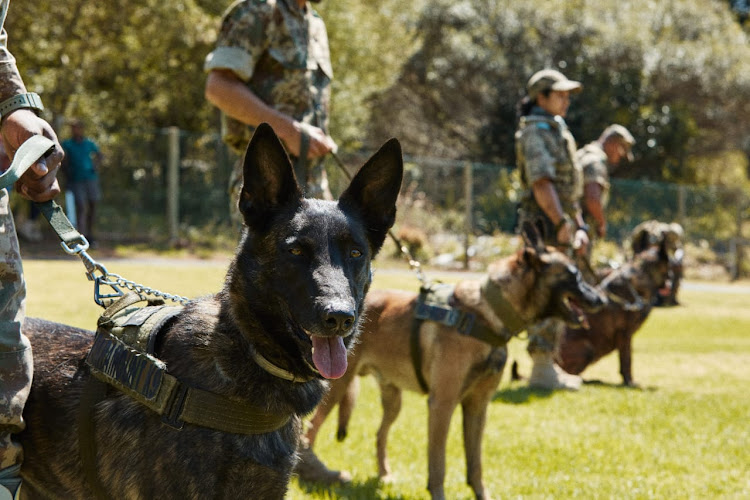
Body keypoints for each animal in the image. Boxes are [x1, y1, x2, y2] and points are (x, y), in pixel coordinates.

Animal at [302, 227, 608, 500]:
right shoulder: (443, 404)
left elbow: (476, 464)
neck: (487, 314)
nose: (603, 299)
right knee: (310, 430)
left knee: (379, 434)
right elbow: (438, 464)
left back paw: (384, 475)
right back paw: (312, 475)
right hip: (337, 388)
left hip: (393, 399)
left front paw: (482, 495)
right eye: (573, 275)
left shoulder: (477, 407)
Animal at [556, 241, 672, 386]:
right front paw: (629, 382)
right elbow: (627, 360)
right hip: (588, 349)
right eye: (670, 265)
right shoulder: (625, 333)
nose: (672, 278)